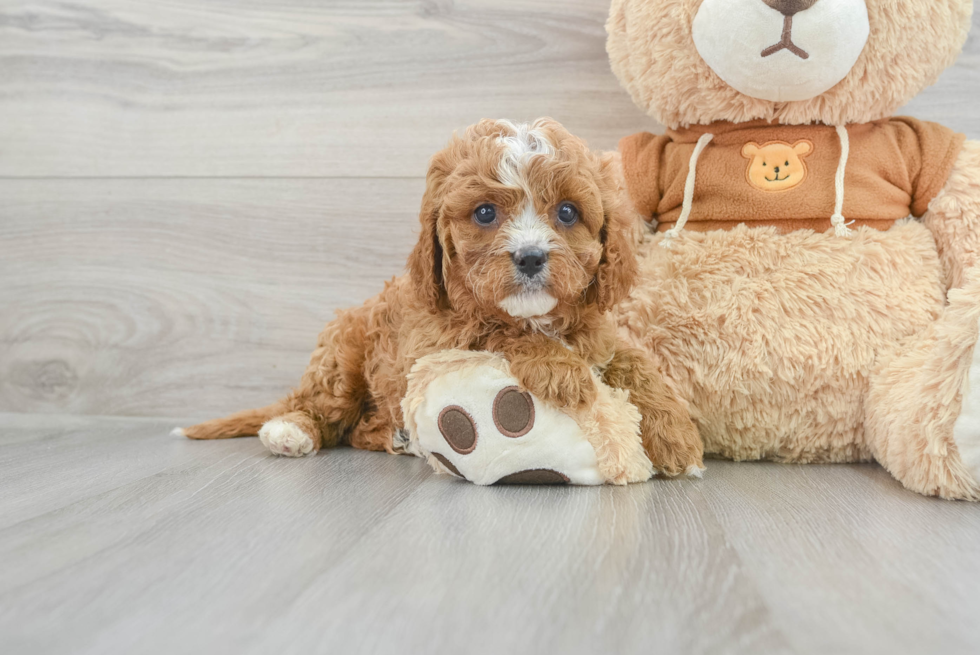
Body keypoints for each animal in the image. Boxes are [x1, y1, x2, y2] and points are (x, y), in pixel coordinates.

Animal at [180, 118, 704, 476]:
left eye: (568, 212)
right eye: (485, 212)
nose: (531, 257)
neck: (537, 318)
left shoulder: (598, 333)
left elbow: (636, 363)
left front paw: (678, 436)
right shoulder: (434, 340)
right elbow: (495, 330)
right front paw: (561, 370)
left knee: (357, 429)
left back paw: (397, 436)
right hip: (341, 357)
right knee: (322, 410)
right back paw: (290, 430)